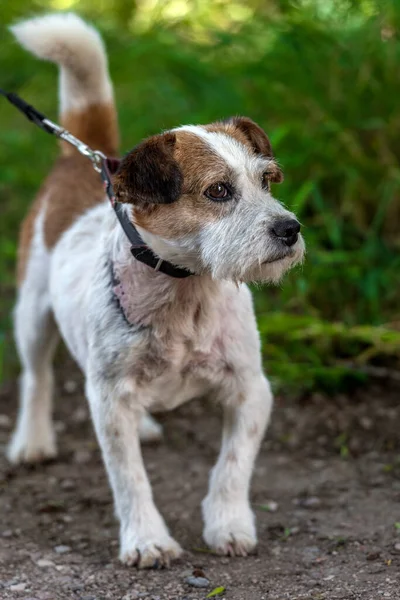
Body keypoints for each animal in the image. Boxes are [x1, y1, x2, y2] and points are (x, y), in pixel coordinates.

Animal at [7, 12, 304, 568]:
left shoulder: (250, 390)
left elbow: (232, 465)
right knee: (37, 377)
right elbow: (129, 478)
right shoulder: (109, 399)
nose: (290, 229)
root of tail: (87, 160)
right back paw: (31, 441)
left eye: (267, 181)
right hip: (31, 315)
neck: (185, 293)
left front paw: (229, 524)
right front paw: (146, 539)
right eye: (218, 191)